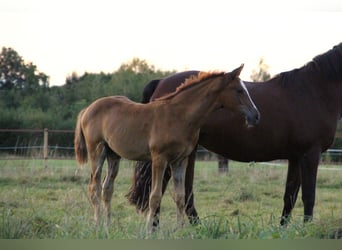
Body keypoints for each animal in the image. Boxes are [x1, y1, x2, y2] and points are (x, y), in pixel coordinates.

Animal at [73, 65, 258, 232]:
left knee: (107, 188)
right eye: (239, 90)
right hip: (97, 151)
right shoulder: (159, 159)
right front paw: (148, 230)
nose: (256, 115)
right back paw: (97, 225)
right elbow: (154, 196)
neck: (179, 116)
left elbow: (180, 196)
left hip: (113, 155)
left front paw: (180, 230)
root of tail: (87, 109)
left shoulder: (180, 160)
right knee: (94, 187)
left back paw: (108, 226)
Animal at [127, 42, 342, 225]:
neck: (313, 91)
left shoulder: (296, 157)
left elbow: (290, 196)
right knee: (172, 192)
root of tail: (160, 82)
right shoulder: (310, 154)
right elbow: (309, 197)